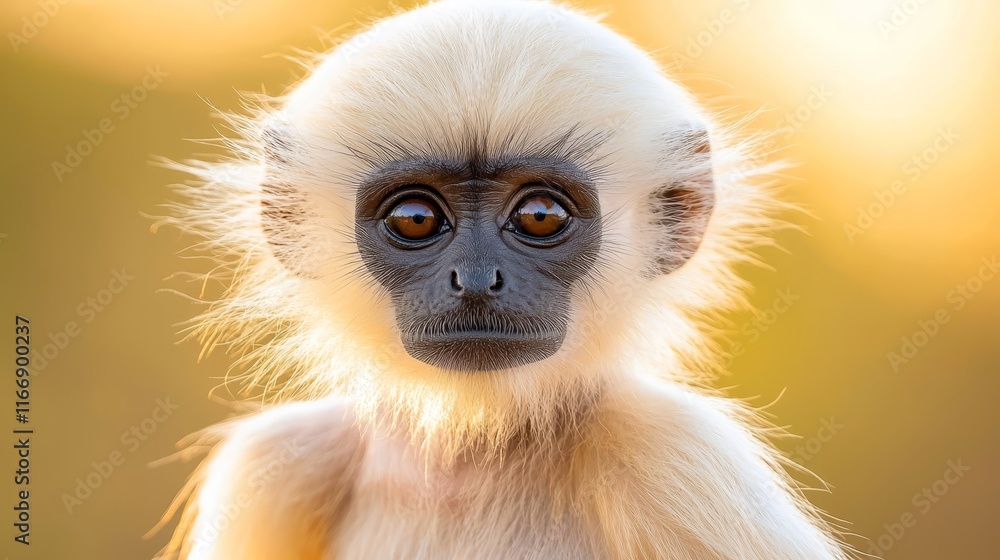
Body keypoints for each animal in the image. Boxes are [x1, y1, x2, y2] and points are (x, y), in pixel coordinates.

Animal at [158, 0, 853, 558]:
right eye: (415, 219)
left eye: (540, 216)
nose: (474, 279)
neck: (467, 460)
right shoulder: (276, 462)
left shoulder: (681, 452)